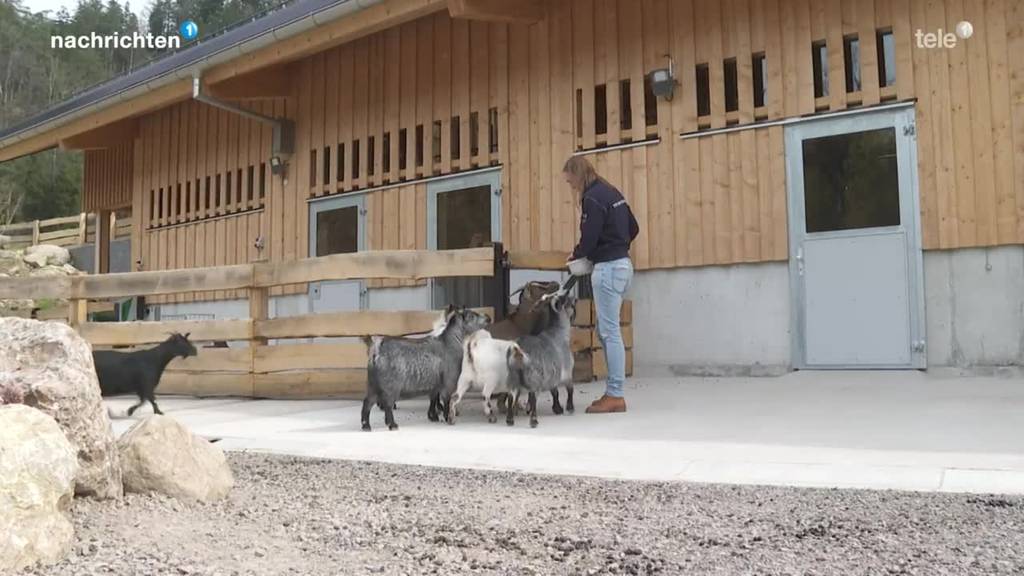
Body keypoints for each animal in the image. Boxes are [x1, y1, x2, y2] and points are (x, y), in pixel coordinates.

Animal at [509, 291, 581, 426]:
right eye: (568, 301)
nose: (576, 299)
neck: (559, 332)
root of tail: (519, 349)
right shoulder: (567, 371)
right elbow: (570, 389)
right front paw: (569, 407)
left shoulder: (552, 375)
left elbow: (555, 392)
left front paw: (557, 408)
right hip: (534, 378)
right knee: (532, 398)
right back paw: (533, 420)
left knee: (511, 397)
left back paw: (510, 419)